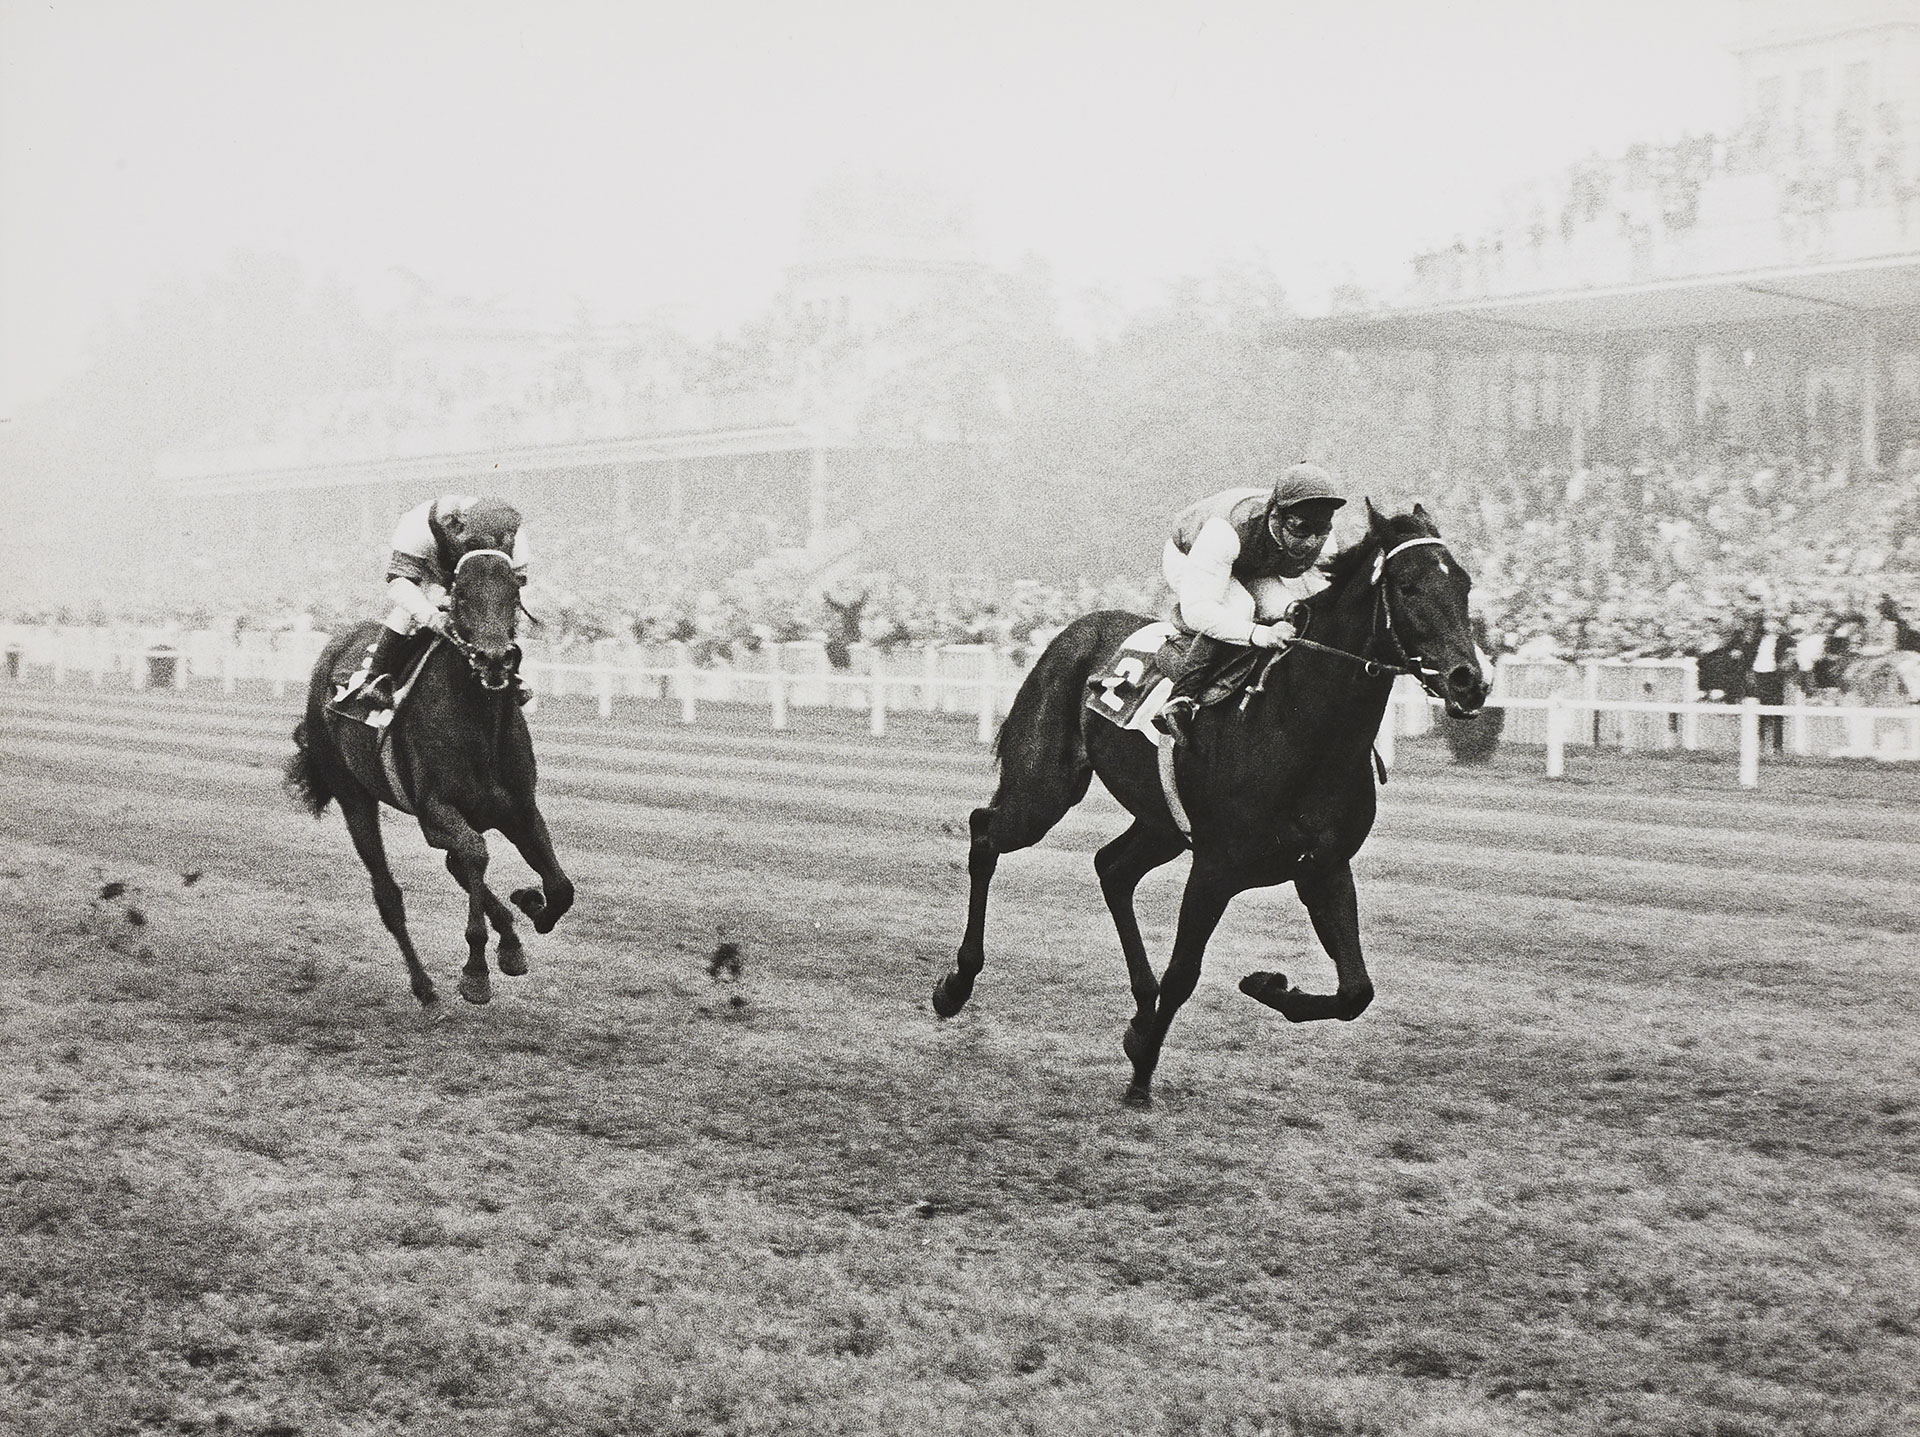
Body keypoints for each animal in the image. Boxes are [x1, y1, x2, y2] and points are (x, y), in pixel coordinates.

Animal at [280, 545, 572, 1006]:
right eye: (461, 596)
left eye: (514, 593)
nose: (494, 659)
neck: (480, 725)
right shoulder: (434, 813)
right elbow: (475, 855)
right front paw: (476, 971)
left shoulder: (521, 809)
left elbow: (560, 887)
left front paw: (529, 905)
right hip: (353, 798)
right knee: (389, 893)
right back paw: (424, 985)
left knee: (457, 865)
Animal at [936, 499, 1489, 1106]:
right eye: (1409, 587)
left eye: (1463, 584)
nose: (1470, 681)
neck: (1304, 726)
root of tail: (1075, 629)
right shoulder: (1216, 867)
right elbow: (1185, 974)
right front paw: (1142, 1072)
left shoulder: (1323, 866)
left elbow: (1355, 991)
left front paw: (1265, 985)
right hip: (1044, 791)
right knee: (986, 831)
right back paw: (957, 984)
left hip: (1161, 823)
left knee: (1112, 868)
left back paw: (1140, 1007)